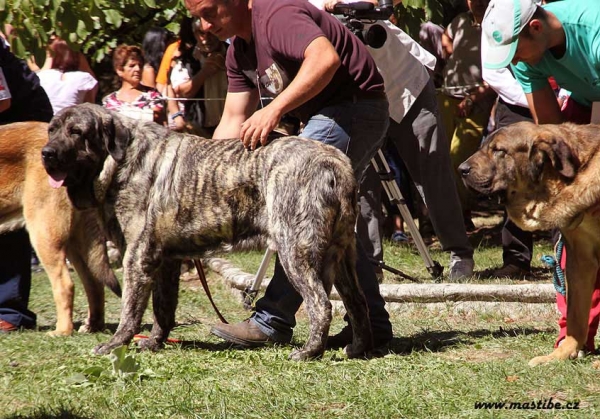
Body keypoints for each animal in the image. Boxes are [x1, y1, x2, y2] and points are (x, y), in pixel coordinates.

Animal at [0, 120, 120, 334]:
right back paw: (92, 326)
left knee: (65, 284)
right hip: (77, 241)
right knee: (94, 283)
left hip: (44, 234)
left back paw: (62, 331)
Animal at [39, 104, 372, 360]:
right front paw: (154, 342)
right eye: (52, 129)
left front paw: (114, 345)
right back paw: (358, 349)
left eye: (77, 132)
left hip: (295, 252)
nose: (47, 153)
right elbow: (163, 308)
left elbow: (130, 311)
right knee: (358, 302)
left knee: (320, 304)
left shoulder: (137, 258)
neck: (122, 159)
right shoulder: (166, 260)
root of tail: (335, 162)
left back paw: (308, 352)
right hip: (341, 256)